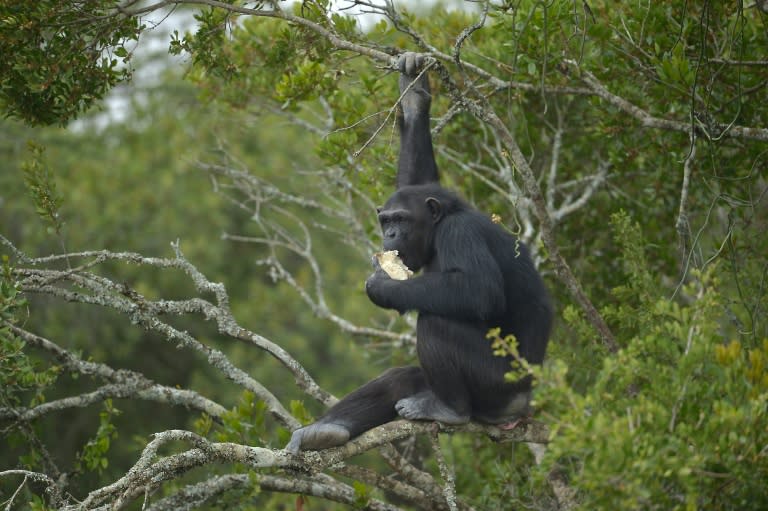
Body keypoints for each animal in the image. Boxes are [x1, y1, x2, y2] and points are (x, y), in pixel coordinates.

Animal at [284, 53, 552, 456]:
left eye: (402, 220)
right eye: (386, 220)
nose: (390, 234)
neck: (440, 228)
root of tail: (524, 405)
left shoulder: (461, 233)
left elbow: (479, 290)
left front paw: (382, 287)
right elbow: (418, 175)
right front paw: (413, 96)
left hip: (498, 390)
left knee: (437, 322)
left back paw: (450, 410)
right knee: (399, 378)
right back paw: (324, 432)